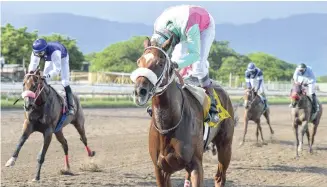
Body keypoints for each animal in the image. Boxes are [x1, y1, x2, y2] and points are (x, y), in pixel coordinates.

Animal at [131, 37, 236, 187]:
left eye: (160, 63)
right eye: (139, 61)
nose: (140, 91)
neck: (168, 126)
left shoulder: (196, 165)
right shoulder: (161, 169)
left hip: (225, 146)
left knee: (219, 177)